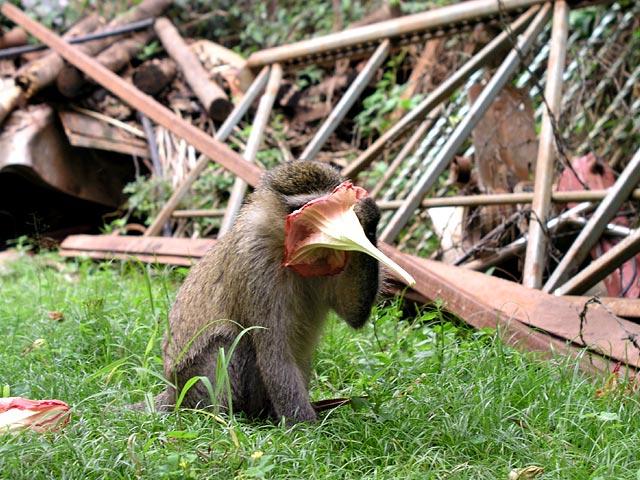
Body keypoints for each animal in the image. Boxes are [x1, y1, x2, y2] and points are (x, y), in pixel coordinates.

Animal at [146, 161, 381, 424]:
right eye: (301, 211)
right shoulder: (256, 261)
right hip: (196, 386)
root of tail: (173, 393)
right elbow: (274, 354)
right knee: (231, 341)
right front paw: (307, 429)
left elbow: (353, 314)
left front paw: (366, 215)